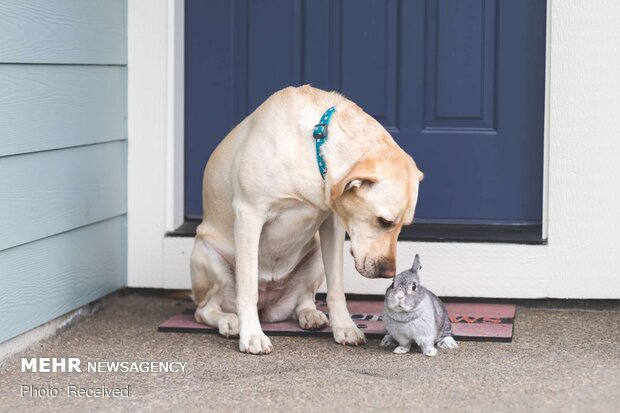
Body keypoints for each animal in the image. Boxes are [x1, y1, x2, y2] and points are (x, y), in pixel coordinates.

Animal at [190, 85, 422, 352]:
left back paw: (311, 315)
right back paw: (229, 321)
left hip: (316, 257)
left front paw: (345, 327)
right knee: (204, 309)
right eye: (384, 221)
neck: (313, 152)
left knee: (304, 300)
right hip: (207, 257)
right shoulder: (250, 213)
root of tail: (268, 306)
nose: (389, 272)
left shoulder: (333, 223)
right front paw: (252, 336)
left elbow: (336, 288)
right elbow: (247, 289)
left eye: (403, 226)